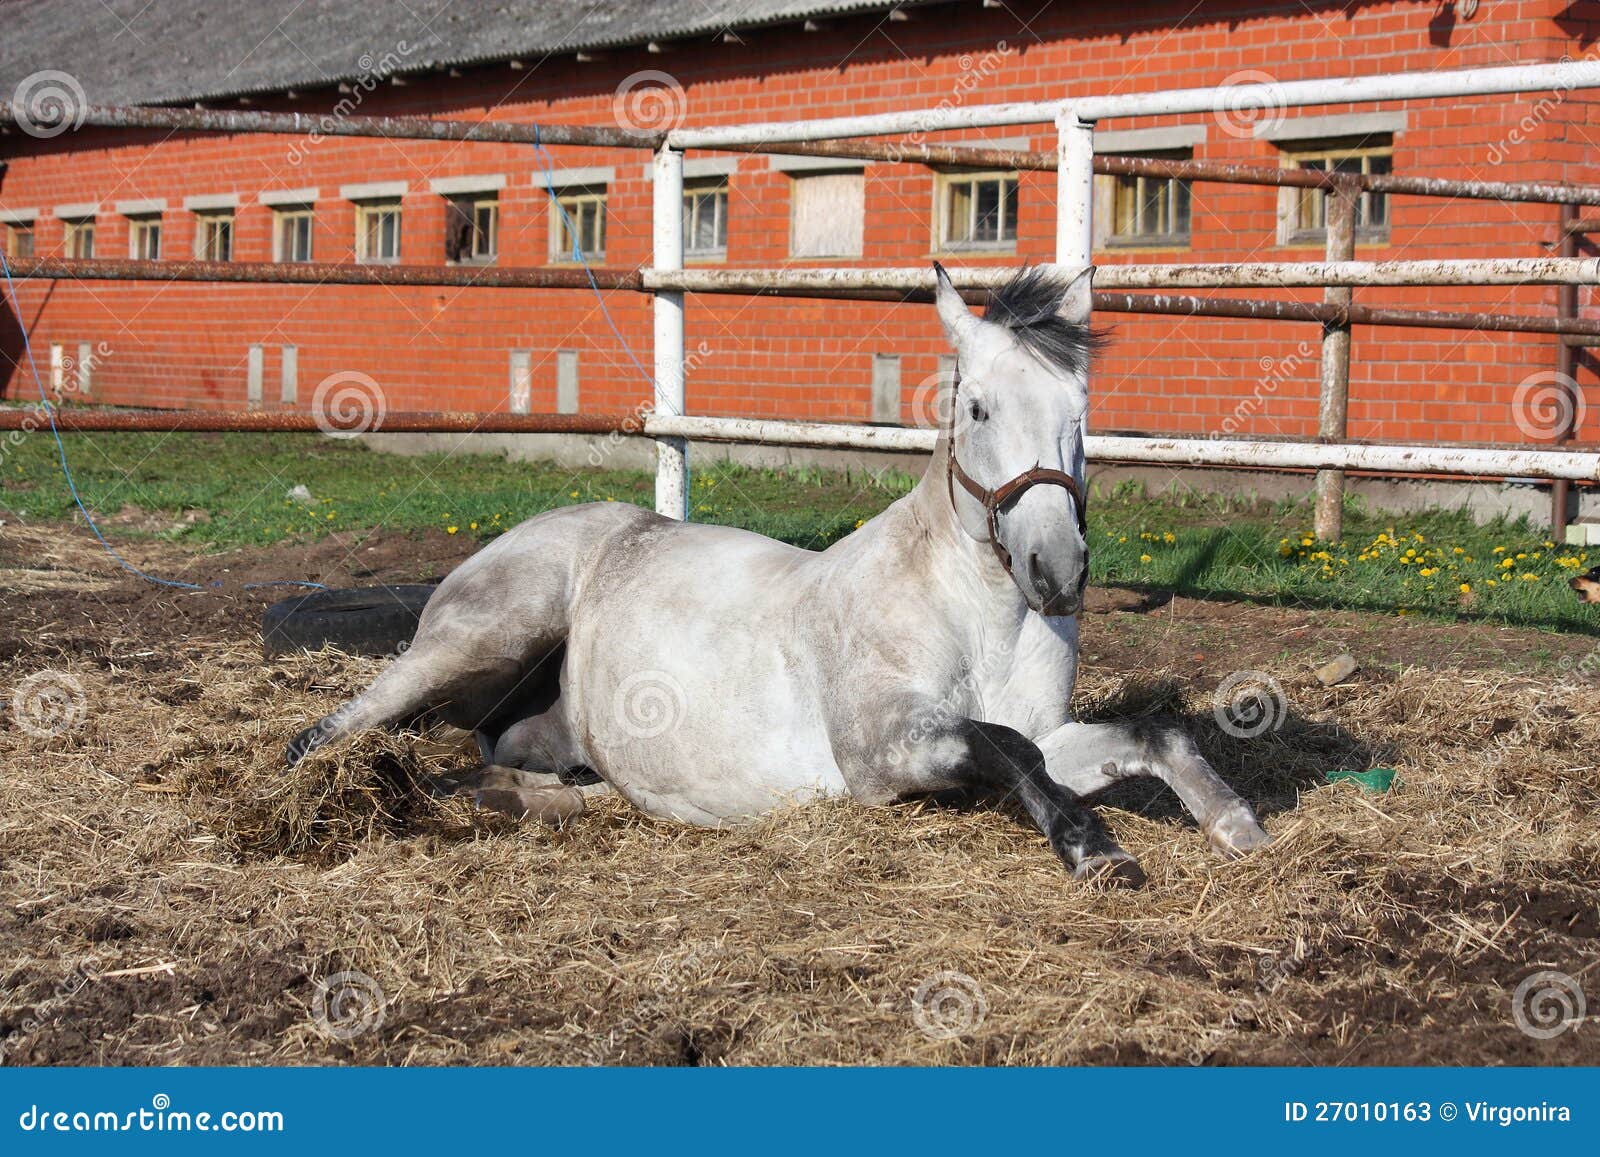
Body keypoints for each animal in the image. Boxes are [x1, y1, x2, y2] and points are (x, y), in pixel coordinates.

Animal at [285, 263, 1271, 887]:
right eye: (980, 408)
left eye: (1080, 411)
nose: (1056, 570)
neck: (976, 610)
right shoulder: (882, 750)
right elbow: (1009, 750)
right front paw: (1098, 853)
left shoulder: (1049, 727)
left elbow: (1149, 733)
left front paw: (1239, 826)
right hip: (482, 635)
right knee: (327, 732)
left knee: (512, 778)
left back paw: (500, 795)